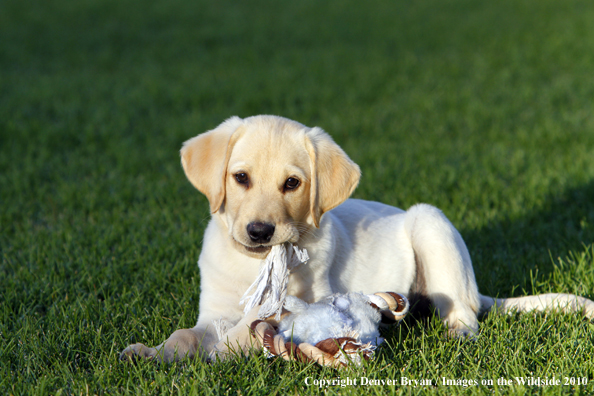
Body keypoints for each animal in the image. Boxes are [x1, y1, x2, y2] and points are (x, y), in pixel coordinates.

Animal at [120, 113, 592, 362]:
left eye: (292, 184)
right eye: (240, 178)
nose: (259, 231)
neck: (252, 265)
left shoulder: (292, 307)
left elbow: (244, 332)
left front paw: (219, 355)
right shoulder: (214, 311)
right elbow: (187, 333)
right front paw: (153, 353)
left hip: (431, 223)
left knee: (465, 313)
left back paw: (456, 334)